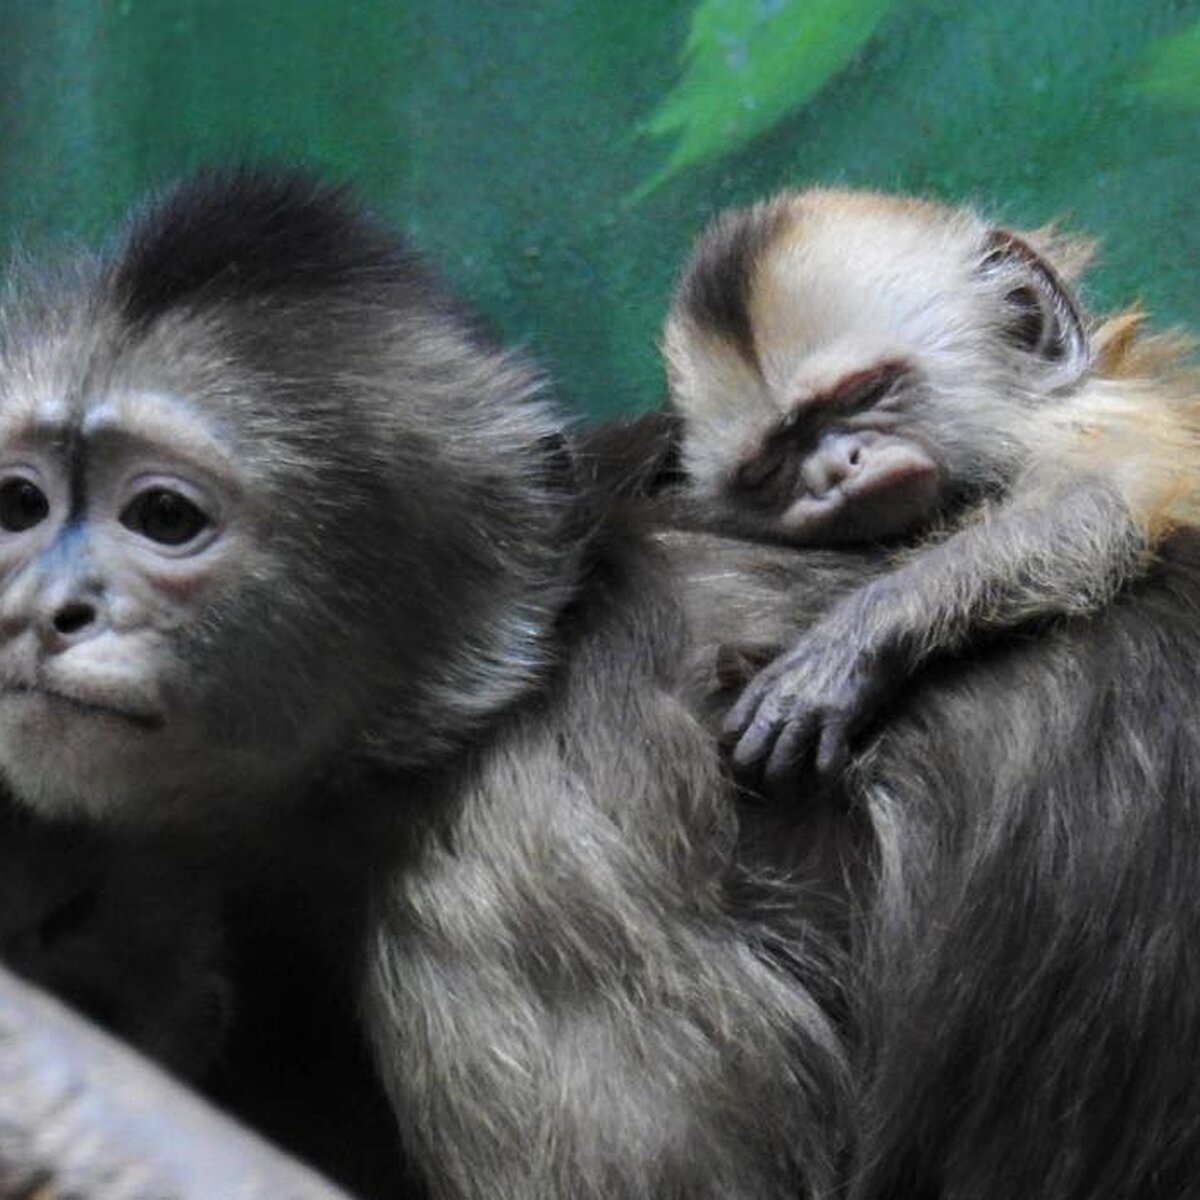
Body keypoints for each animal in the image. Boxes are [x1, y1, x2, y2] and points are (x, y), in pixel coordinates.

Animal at [667, 184, 1200, 787]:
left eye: (865, 393)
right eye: (770, 465)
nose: (835, 469)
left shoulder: (1090, 422)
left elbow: (1097, 503)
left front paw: (863, 633)